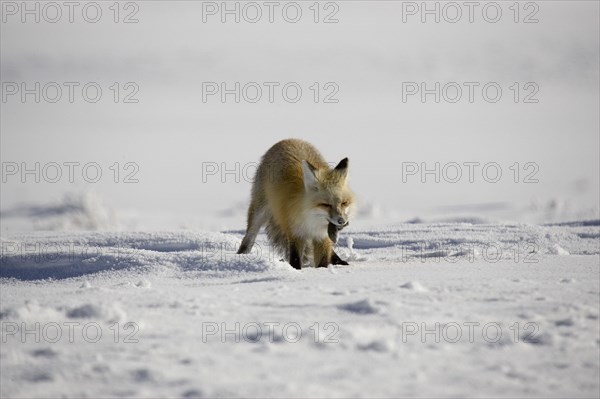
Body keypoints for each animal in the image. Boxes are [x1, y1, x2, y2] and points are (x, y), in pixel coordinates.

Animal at [237, 139, 354, 270]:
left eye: (344, 203)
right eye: (326, 204)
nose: (342, 221)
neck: (312, 221)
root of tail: (288, 140)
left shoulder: (322, 237)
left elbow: (323, 260)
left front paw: (322, 270)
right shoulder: (295, 232)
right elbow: (295, 258)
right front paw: (296, 270)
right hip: (260, 212)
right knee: (248, 239)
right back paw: (240, 257)